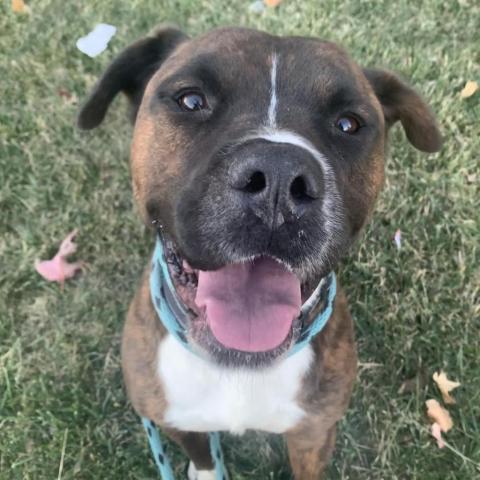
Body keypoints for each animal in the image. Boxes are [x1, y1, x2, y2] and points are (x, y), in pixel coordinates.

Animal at [79, 27, 442, 480]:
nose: (279, 176)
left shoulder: (314, 432)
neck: (238, 367)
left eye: (348, 123)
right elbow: (202, 453)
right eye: (191, 100)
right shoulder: (174, 418)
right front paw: (205, 471)